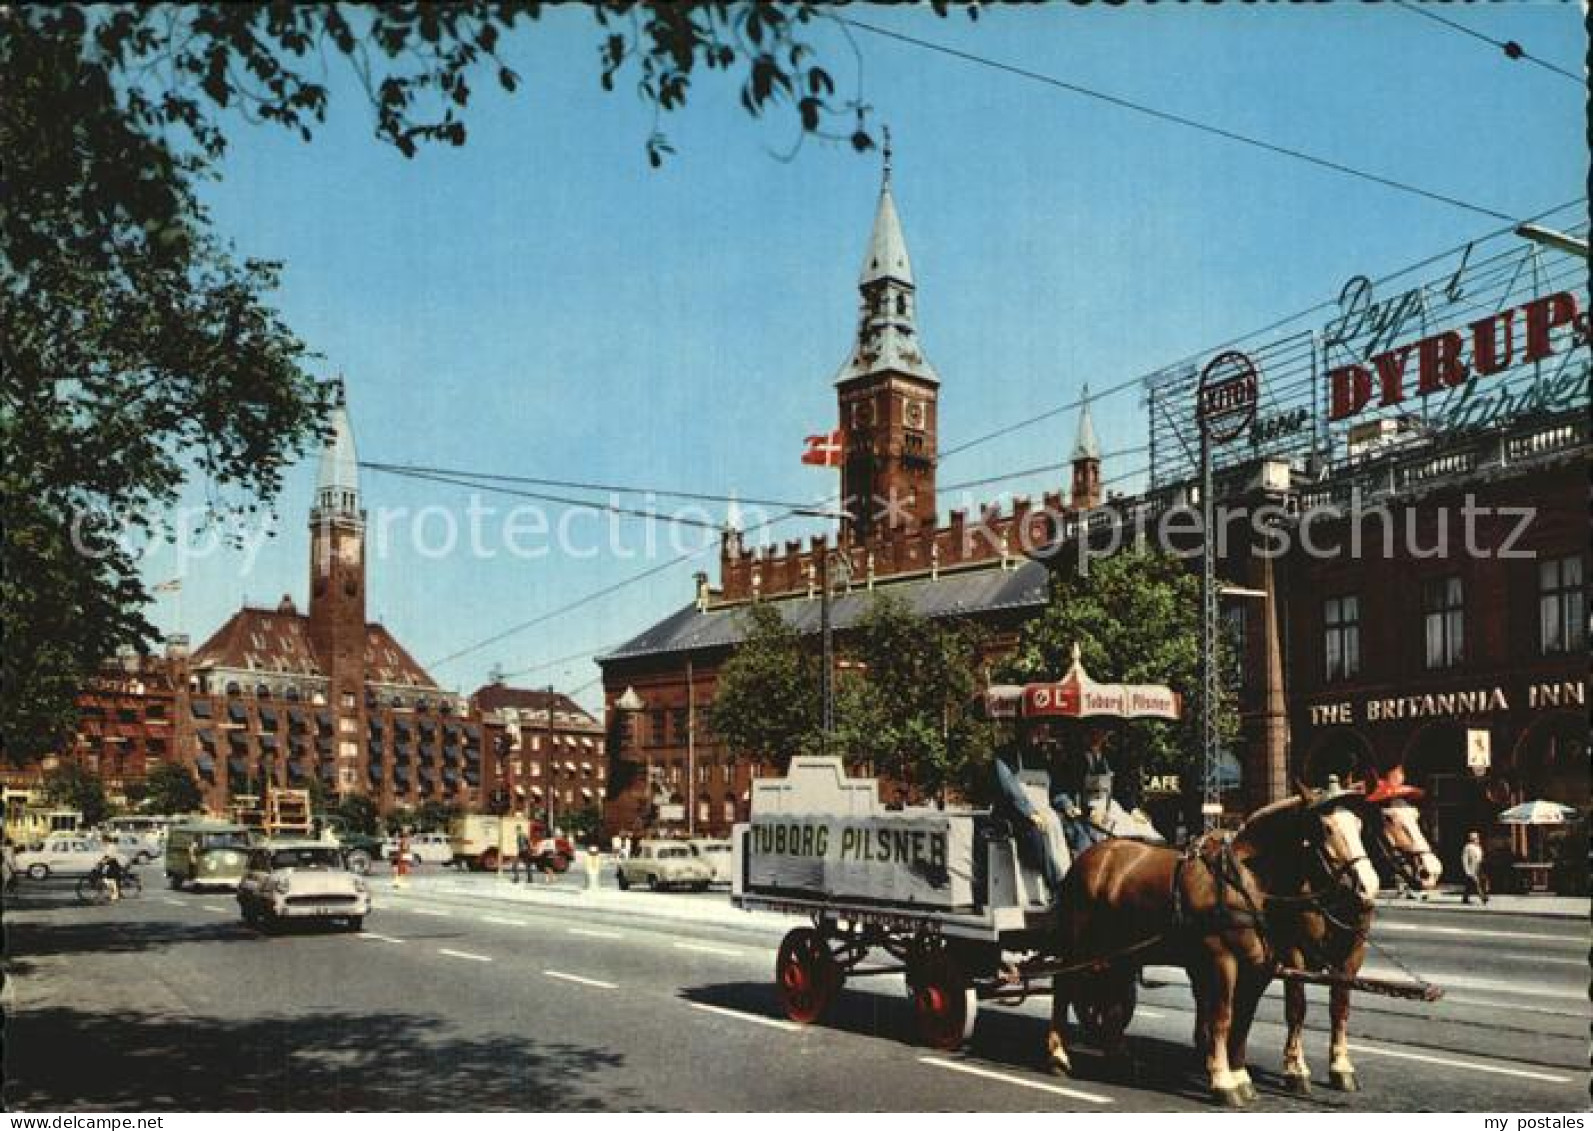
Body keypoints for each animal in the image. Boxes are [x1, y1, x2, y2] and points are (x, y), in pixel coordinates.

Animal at [1051, 790, 1376, 1108]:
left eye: (1360, 826)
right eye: (1325, 828)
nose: (1369, 888)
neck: (1245, 883)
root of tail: (1089, 857)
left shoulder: (1258, 968)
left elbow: (1244, 1021)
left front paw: (1241, 1077)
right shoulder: (1223, 959)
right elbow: (1223, 1017)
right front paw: (1223, 1081)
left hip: (1120, 952)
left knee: (1112, 995)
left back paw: (1117, 1056)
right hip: (1078, 945)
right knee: (1064, 986)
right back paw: (1058, 1055)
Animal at [1274, 802, 1440, 1095]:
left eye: (1416, 815)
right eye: (1387, 817)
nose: (1431, 872)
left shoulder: (1352, 955)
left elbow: (1340, 1006)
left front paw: (1341, 1067)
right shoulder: (1292, 953)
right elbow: (1297, 1008)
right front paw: (1295, 1069)